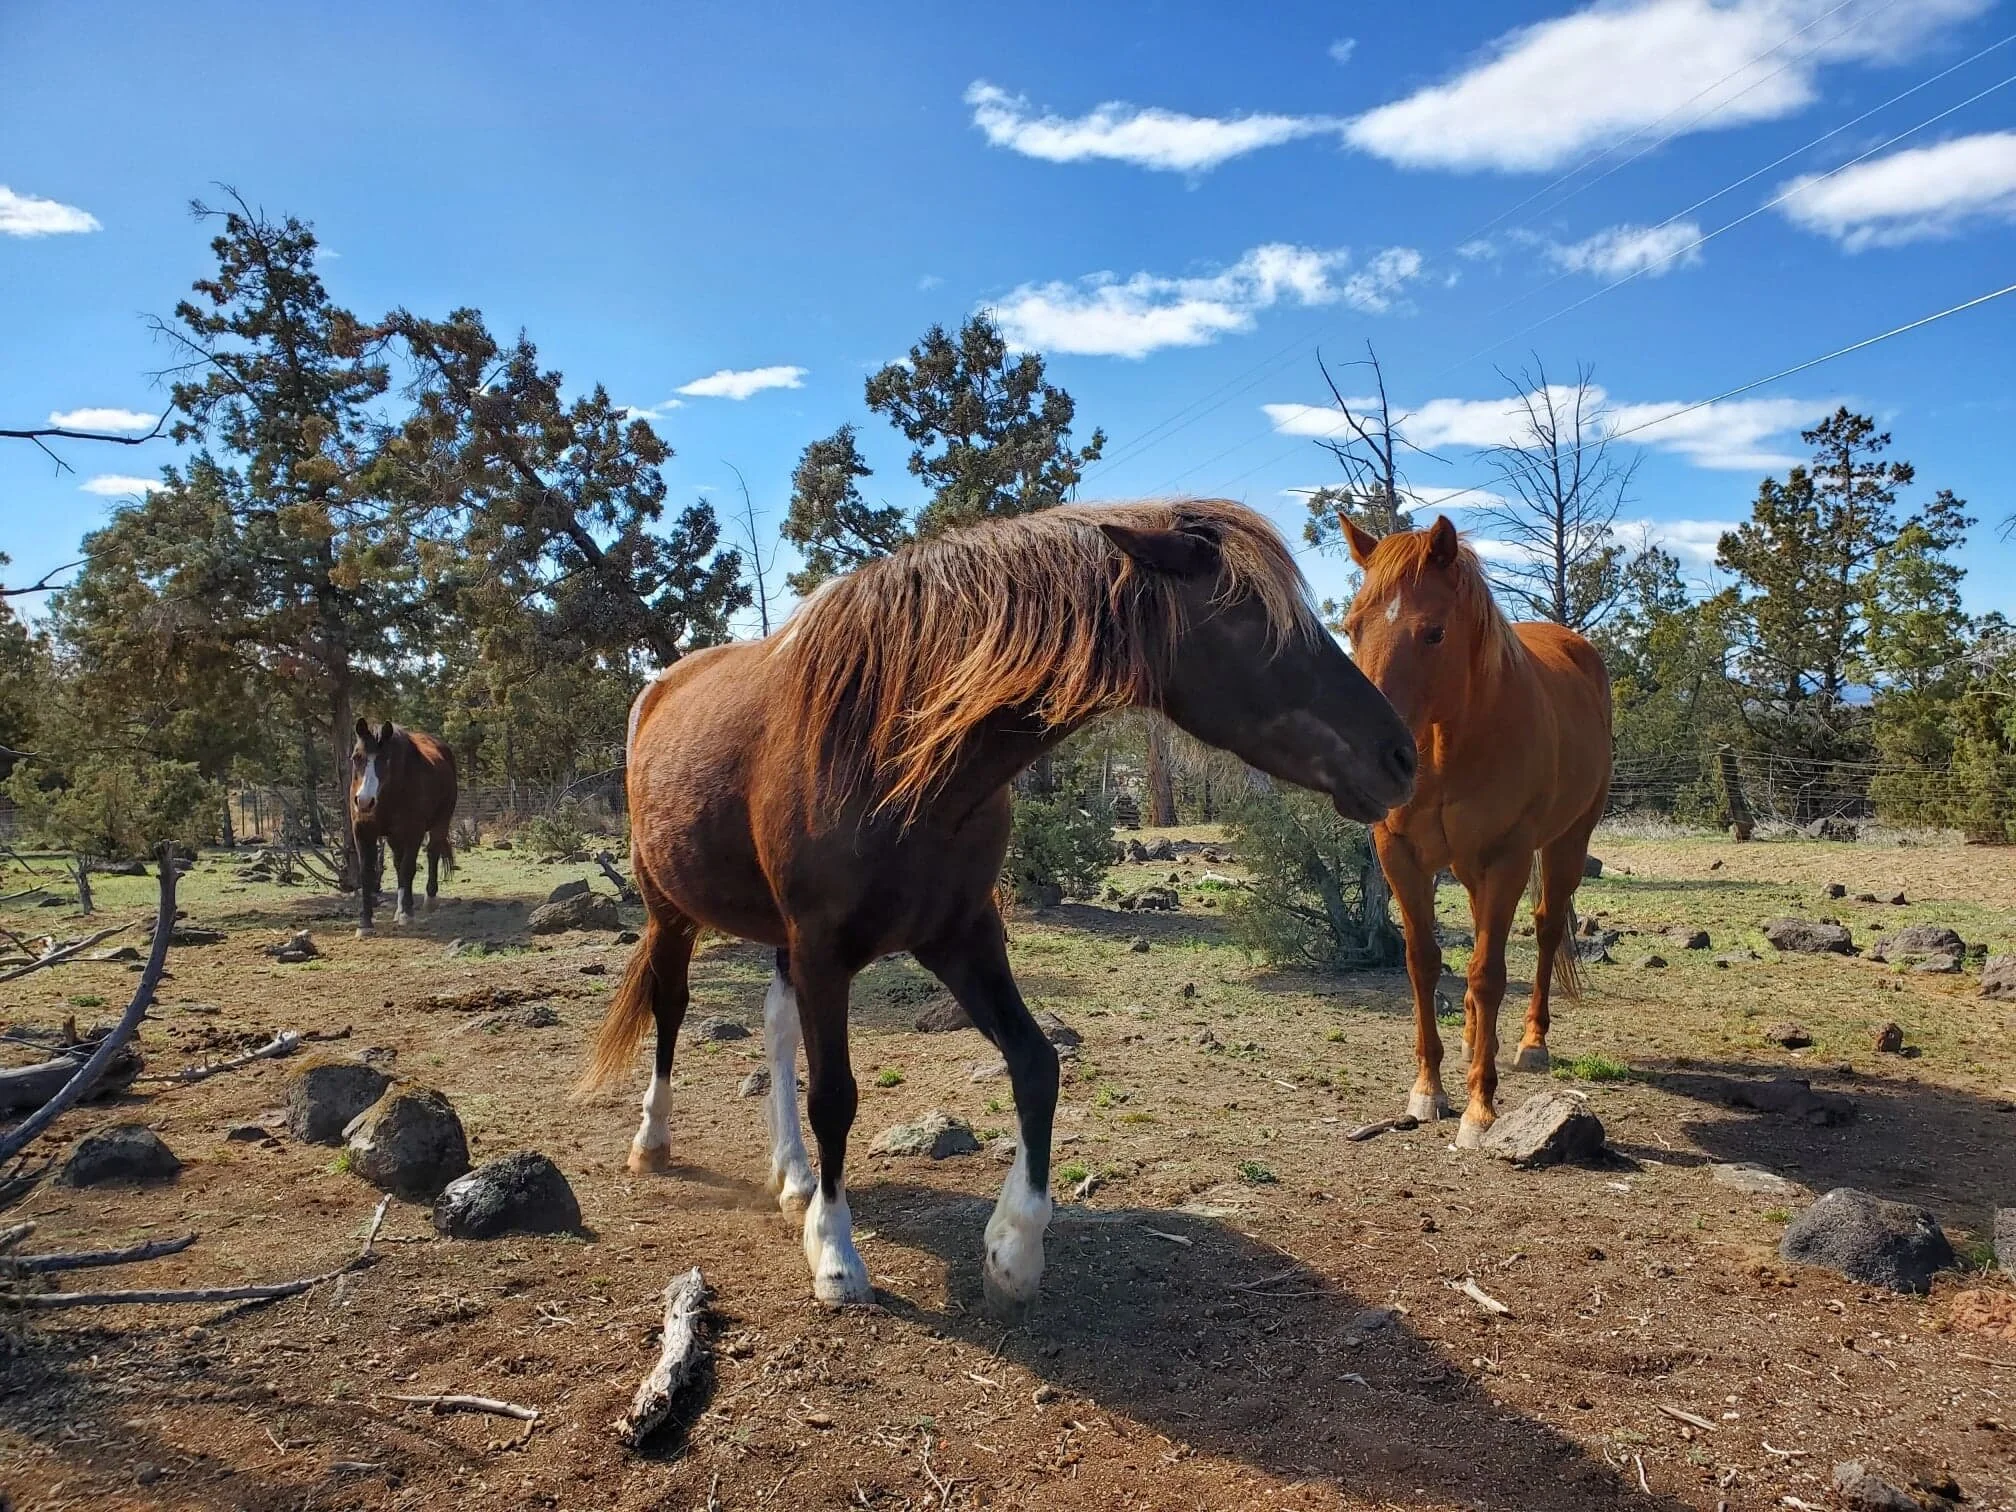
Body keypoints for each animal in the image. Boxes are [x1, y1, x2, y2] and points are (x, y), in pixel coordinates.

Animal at [349, 719, 459, 937]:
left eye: (385, 759)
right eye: (356, 757)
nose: (364, 801)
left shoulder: (413, 832)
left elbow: (409, 869)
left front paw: (408, 914)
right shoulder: (362, 832)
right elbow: (366, 874)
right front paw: (365, 923)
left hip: (440, 822)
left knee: (432, 853)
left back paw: (429, 899)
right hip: (394, 836)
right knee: (398, 863)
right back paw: (398, 910)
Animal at [583, 499, 1417, 1309]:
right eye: (1248, 618)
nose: (1401, 756)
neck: (891, 746)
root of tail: (656, 690)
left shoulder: (962, 935)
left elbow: (1037, 1064)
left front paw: (1014, 1248)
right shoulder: (825, 950)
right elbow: (836, 1097)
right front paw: (836, 1254)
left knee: (777, 1026)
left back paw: (792, 1176)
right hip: (670, 911)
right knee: (671, 1008)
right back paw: (654, 1143)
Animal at [1338, 515, 1612, 1148]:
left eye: (1434, 633)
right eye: (1351, 627)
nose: (1365, 753)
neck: (1448, 747)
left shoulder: (1507, 857)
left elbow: (1488, 973)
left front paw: (1479, 1108)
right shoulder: (1401, 855)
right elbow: (1423, 962)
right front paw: (1428, 1090)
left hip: (1565, 844)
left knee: (1545, 931)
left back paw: (1531, 1043)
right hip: (1467, 868)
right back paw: (1469, 1039)